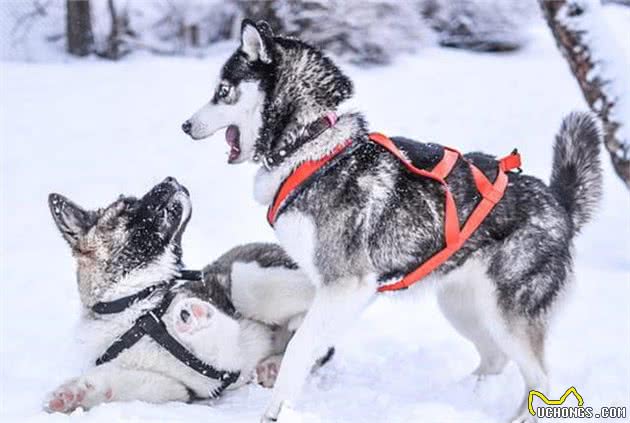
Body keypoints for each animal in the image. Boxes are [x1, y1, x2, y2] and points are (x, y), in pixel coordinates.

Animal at [46, 178, 318, 414]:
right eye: (129, 206)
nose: (171, 178)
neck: (134, 306)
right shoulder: (172, 387)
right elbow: (118, 382)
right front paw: (73, 394)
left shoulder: (230, 350)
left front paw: (194, 315)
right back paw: (273, 366)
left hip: (248, 280)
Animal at [181, 18, 604, 422]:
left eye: (223, 91)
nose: (185, 125)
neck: (310, 144)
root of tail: (559, 204)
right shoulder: (336, 290)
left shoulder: (346, 285)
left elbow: (299, 348)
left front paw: (276, 410)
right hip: (461, 306)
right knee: (495, 359)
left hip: (508, 315)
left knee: (541, 381)